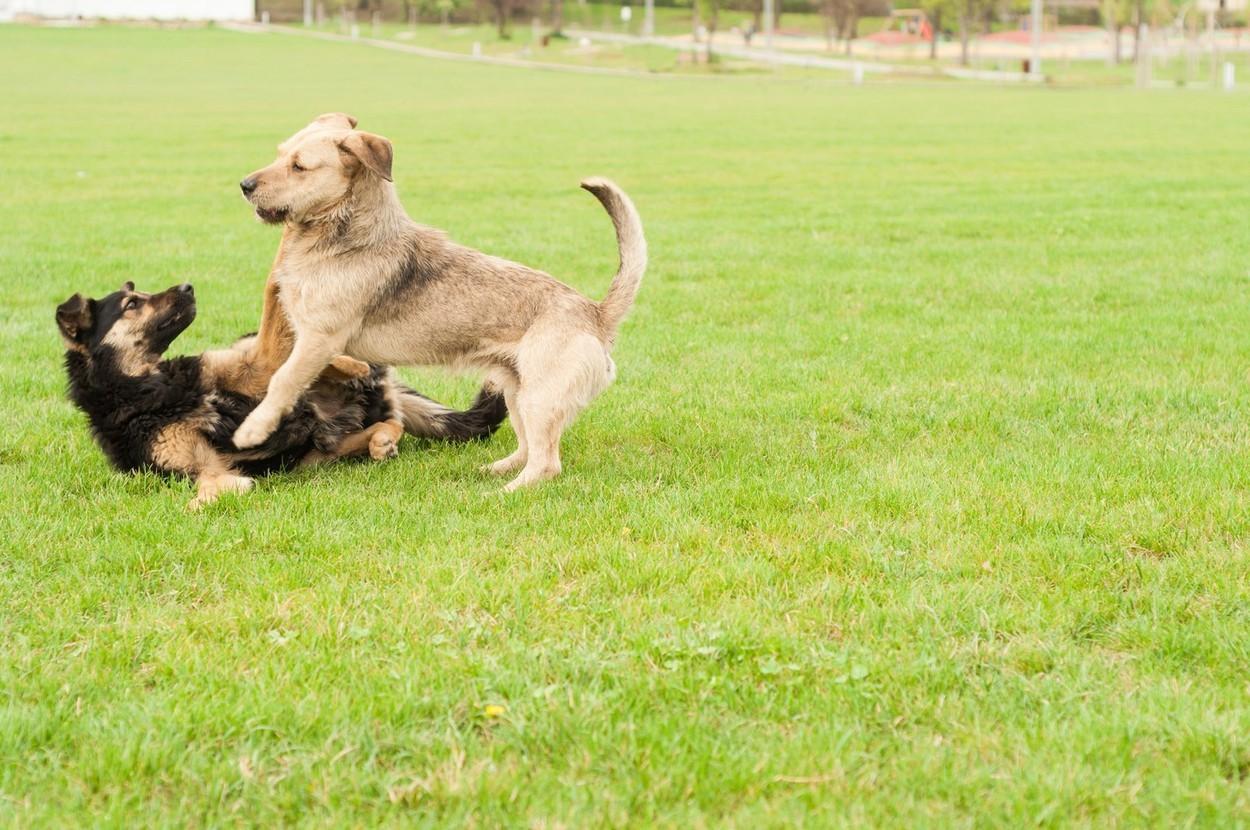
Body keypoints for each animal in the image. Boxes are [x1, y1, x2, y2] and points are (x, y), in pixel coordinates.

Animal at [57, 282, 507, 510]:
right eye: (133, 303)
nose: (187, 285)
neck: (147, 392)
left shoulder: (242, 367)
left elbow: (275, 325)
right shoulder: (206, 469)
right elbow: (209, 491)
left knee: (308, 354)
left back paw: (352, 368)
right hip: (321, 448)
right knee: (384, 421)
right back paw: (380, 437)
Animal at [228, 109, 650, 487]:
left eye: (299, 166)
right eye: (280, 153)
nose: (244, 185)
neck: (347, 234)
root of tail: (596, 314)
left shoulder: (319, 339)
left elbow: (282, 380)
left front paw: (251, 430)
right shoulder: (316, 343)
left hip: (540, 398)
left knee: (547, 463)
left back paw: (503, 493)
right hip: (516, 391)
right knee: (528, 448)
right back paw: (495, 470)